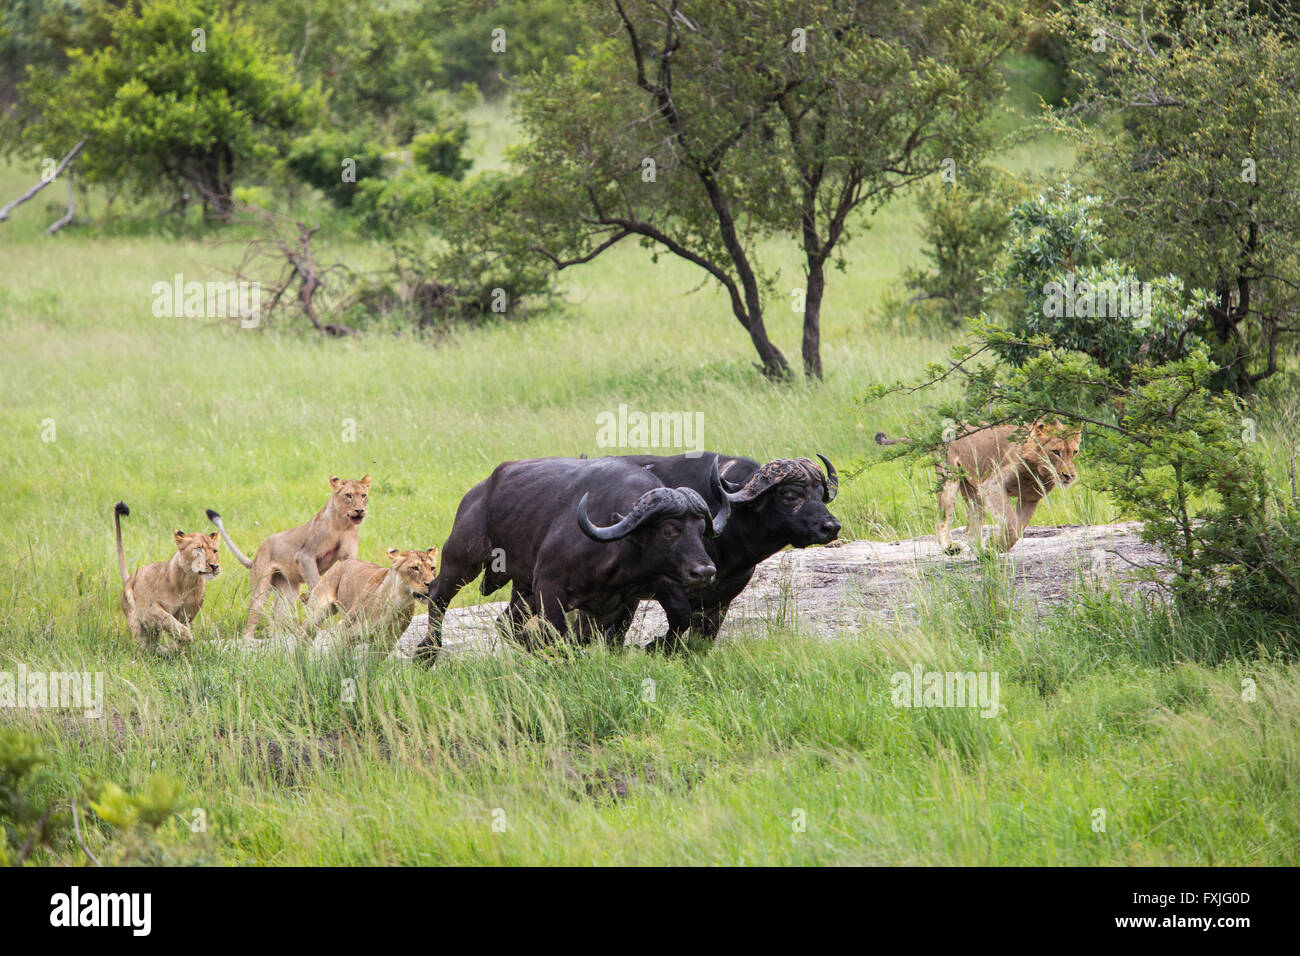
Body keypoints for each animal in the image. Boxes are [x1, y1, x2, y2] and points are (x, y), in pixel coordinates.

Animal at [413, 455, 733, 658]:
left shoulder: (635, 594)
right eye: (669, 530)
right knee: (438, 595)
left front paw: (655, 646)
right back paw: (426, 652)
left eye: (700, 529)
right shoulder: (549, 587)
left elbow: (679, 616)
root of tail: (478, 492)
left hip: (523, 588)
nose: (704, 572)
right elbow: (559, 634)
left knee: (506, 623)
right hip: (461, 559)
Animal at [613, 450, 837, 650]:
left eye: (820, 495)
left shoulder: (722, 597)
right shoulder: (664, 581)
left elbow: (703, 639)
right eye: (790, 495)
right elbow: (681, 617)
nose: (831, 527)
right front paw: (656, 645)